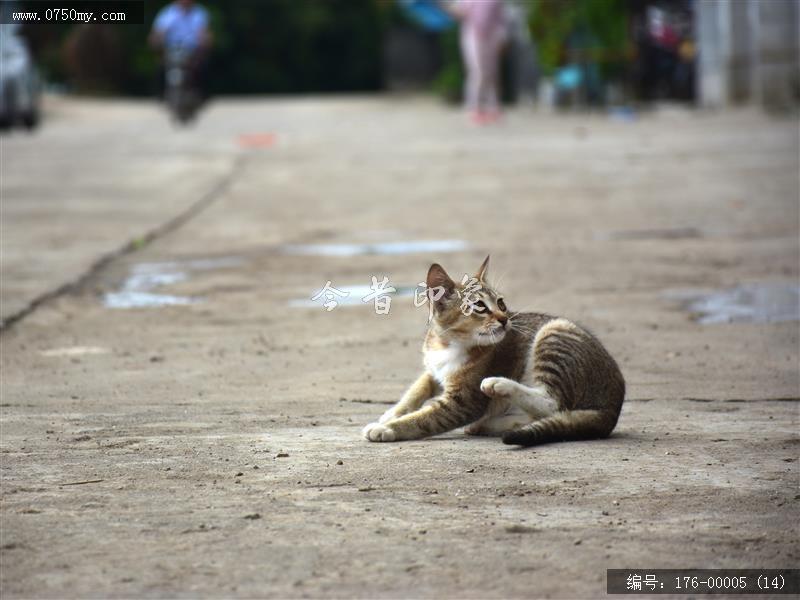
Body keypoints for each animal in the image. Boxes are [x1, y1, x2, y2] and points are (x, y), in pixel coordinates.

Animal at [362, 256, 624, 446]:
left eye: (501, 303)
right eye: (479, 306)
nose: (505, 319)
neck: (447, 345)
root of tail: (613, 405)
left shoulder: (462, 402)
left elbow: (424, 418)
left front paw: (386, 428)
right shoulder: (433, 369)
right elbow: (418, 388)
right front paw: (392, 413)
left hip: (555, 332)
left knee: (553, 403)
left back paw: (499, 386)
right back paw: (489, 424)